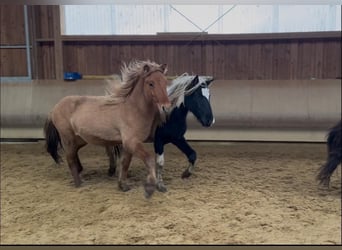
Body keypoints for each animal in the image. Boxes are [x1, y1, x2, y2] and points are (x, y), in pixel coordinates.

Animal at [43, 60, 170, 197]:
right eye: (151, 83)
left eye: (165, 82)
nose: (166, 108)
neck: (133, 109)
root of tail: (54, 108)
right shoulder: (131, 142)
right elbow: (149, 159)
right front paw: (150, 187)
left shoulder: (128, 144)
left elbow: (125, 163)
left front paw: (123, 185)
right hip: (68, 138)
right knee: (70, 158)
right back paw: (79, 183)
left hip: (80, 139)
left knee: (74, 154)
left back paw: (81, 170)